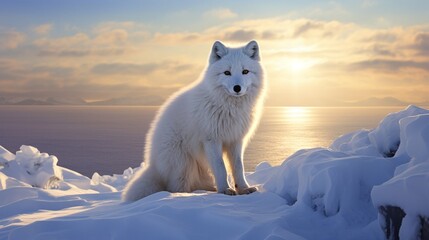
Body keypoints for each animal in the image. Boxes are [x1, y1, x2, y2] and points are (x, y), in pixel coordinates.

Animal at [120, 39, 266, 201]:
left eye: (245, 71)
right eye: (227, 73)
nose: (237, 88)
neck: (230, 108)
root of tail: (153, 163)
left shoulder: (236, 140)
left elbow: (238, 167)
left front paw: (244, 189)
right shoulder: (211, 140)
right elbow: (220, 167)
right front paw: (225, 190)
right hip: (183, 165)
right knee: (176, 187)